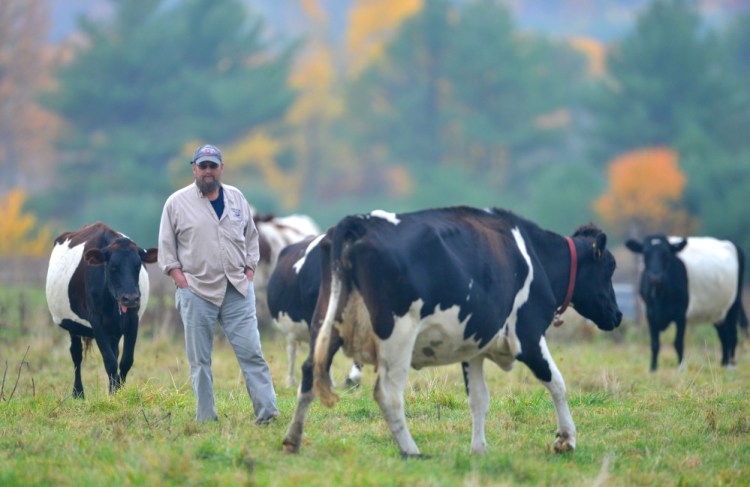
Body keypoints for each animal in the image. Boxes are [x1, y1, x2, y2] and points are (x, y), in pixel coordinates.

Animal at [45, 223, 159, 398]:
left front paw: (119, 392)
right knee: (76, 354)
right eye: (112, 267)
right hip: (73, 326)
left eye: (138, 265)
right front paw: (113, 395)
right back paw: (78, 393)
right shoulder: (96, 321)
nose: (131, 298)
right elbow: (110, 361)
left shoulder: (133, 320)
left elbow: (126, 360)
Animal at [282, 206, 624, 458]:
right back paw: (412, 451)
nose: (618, 315)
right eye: (610, 266)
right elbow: (557, 384)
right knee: (387, 393)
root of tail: (358, 222)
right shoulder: (526, 336)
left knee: (309, 373)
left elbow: (478, 400)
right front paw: (566, 439)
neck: (535, 256)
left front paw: (479, 450)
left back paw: (292, 440)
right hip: (397, 335)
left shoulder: (473, 348)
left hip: (326, 324)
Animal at [624, 235, 748, 370]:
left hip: (733, 305)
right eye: (645, 254)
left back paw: (731, 365)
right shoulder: (650, 314)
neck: (660, 296)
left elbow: (678, 342)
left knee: (732, 334)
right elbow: (654, 343)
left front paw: (681, 367)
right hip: (717, 311)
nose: (655, 278)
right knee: (723, 335)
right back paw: (723, 363)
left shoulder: (681, 314)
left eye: (666, 254)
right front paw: (653, 368)